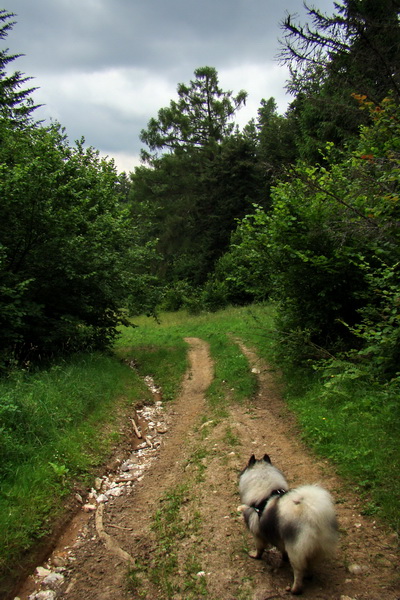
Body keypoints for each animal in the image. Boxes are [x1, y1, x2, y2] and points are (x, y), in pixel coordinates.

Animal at [239, 454, 340, 596]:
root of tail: (314, 517)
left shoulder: (257, 533)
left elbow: (259, 548)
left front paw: (255, 555)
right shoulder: (280, 538)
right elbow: (282, 550)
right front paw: (283, 558)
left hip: (296, 550)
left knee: (298, 572)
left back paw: (294, 589)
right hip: (315, 549)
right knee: (310, 565)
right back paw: (308, 576)